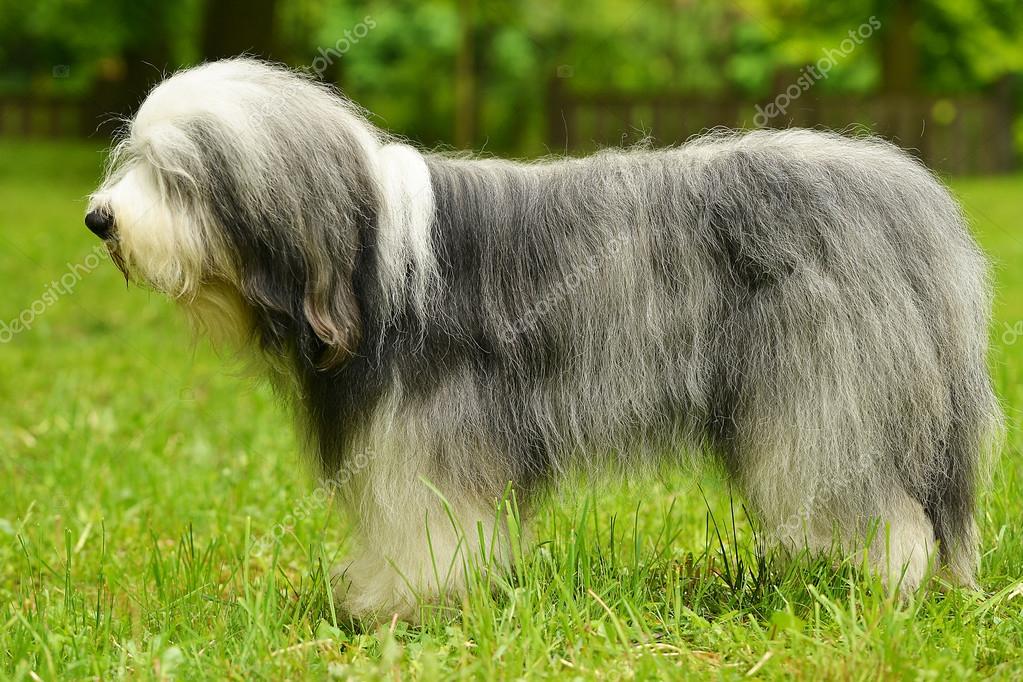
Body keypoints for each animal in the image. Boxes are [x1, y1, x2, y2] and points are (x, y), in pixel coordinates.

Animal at [85, 58, 998, 625]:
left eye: (178, 177)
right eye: (134, 160)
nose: (98, 220)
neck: (371, 255)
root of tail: (914, 199)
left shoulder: (430, 434)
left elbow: (427, 524)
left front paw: (407, 606)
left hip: (823, 401)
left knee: (887, 515)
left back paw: (873, 598)